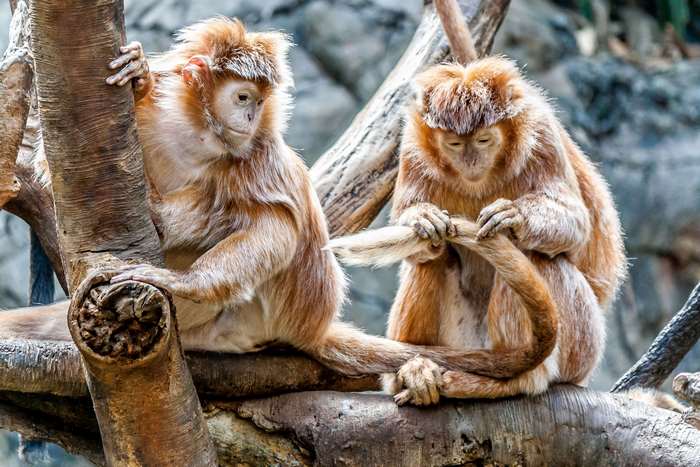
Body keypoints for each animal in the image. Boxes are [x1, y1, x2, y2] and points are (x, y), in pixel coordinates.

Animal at [0, 18, 566, 380]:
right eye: (242, 96)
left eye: (256, 101)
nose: (251, 115)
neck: (200, 133)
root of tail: (310, 325)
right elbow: (55, 161)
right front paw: (137, 77)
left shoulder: (256, 152)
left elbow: (275, 224)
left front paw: (182, 277)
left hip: (268, 307)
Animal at [328, 56, 626, 405]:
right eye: (455, 144)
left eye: (484, 139)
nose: (471, 160)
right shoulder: (412, 146)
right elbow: (418, 238)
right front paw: (421, 218)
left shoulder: (541, 135)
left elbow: (577, 226)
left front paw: (515, 217)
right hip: (461, 340)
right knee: (432, 259)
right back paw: (414, 370)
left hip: (583, 344)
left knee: (537, 256)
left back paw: (520, 377)